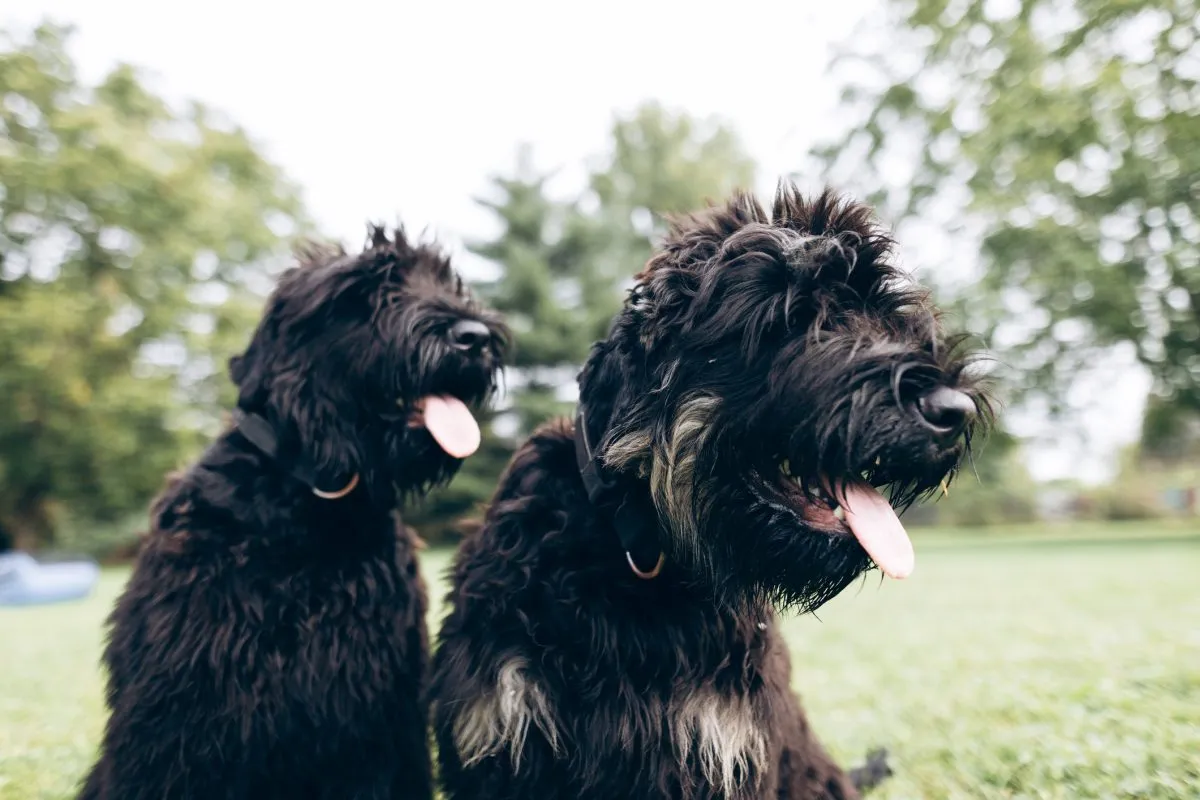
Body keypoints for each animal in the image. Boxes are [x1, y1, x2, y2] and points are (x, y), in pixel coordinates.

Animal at [75, 226, 506, 800]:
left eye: (448, 280)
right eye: (369, 289)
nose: (474, 337)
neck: (311, 499)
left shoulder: (375, 717)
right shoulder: (182, 709)